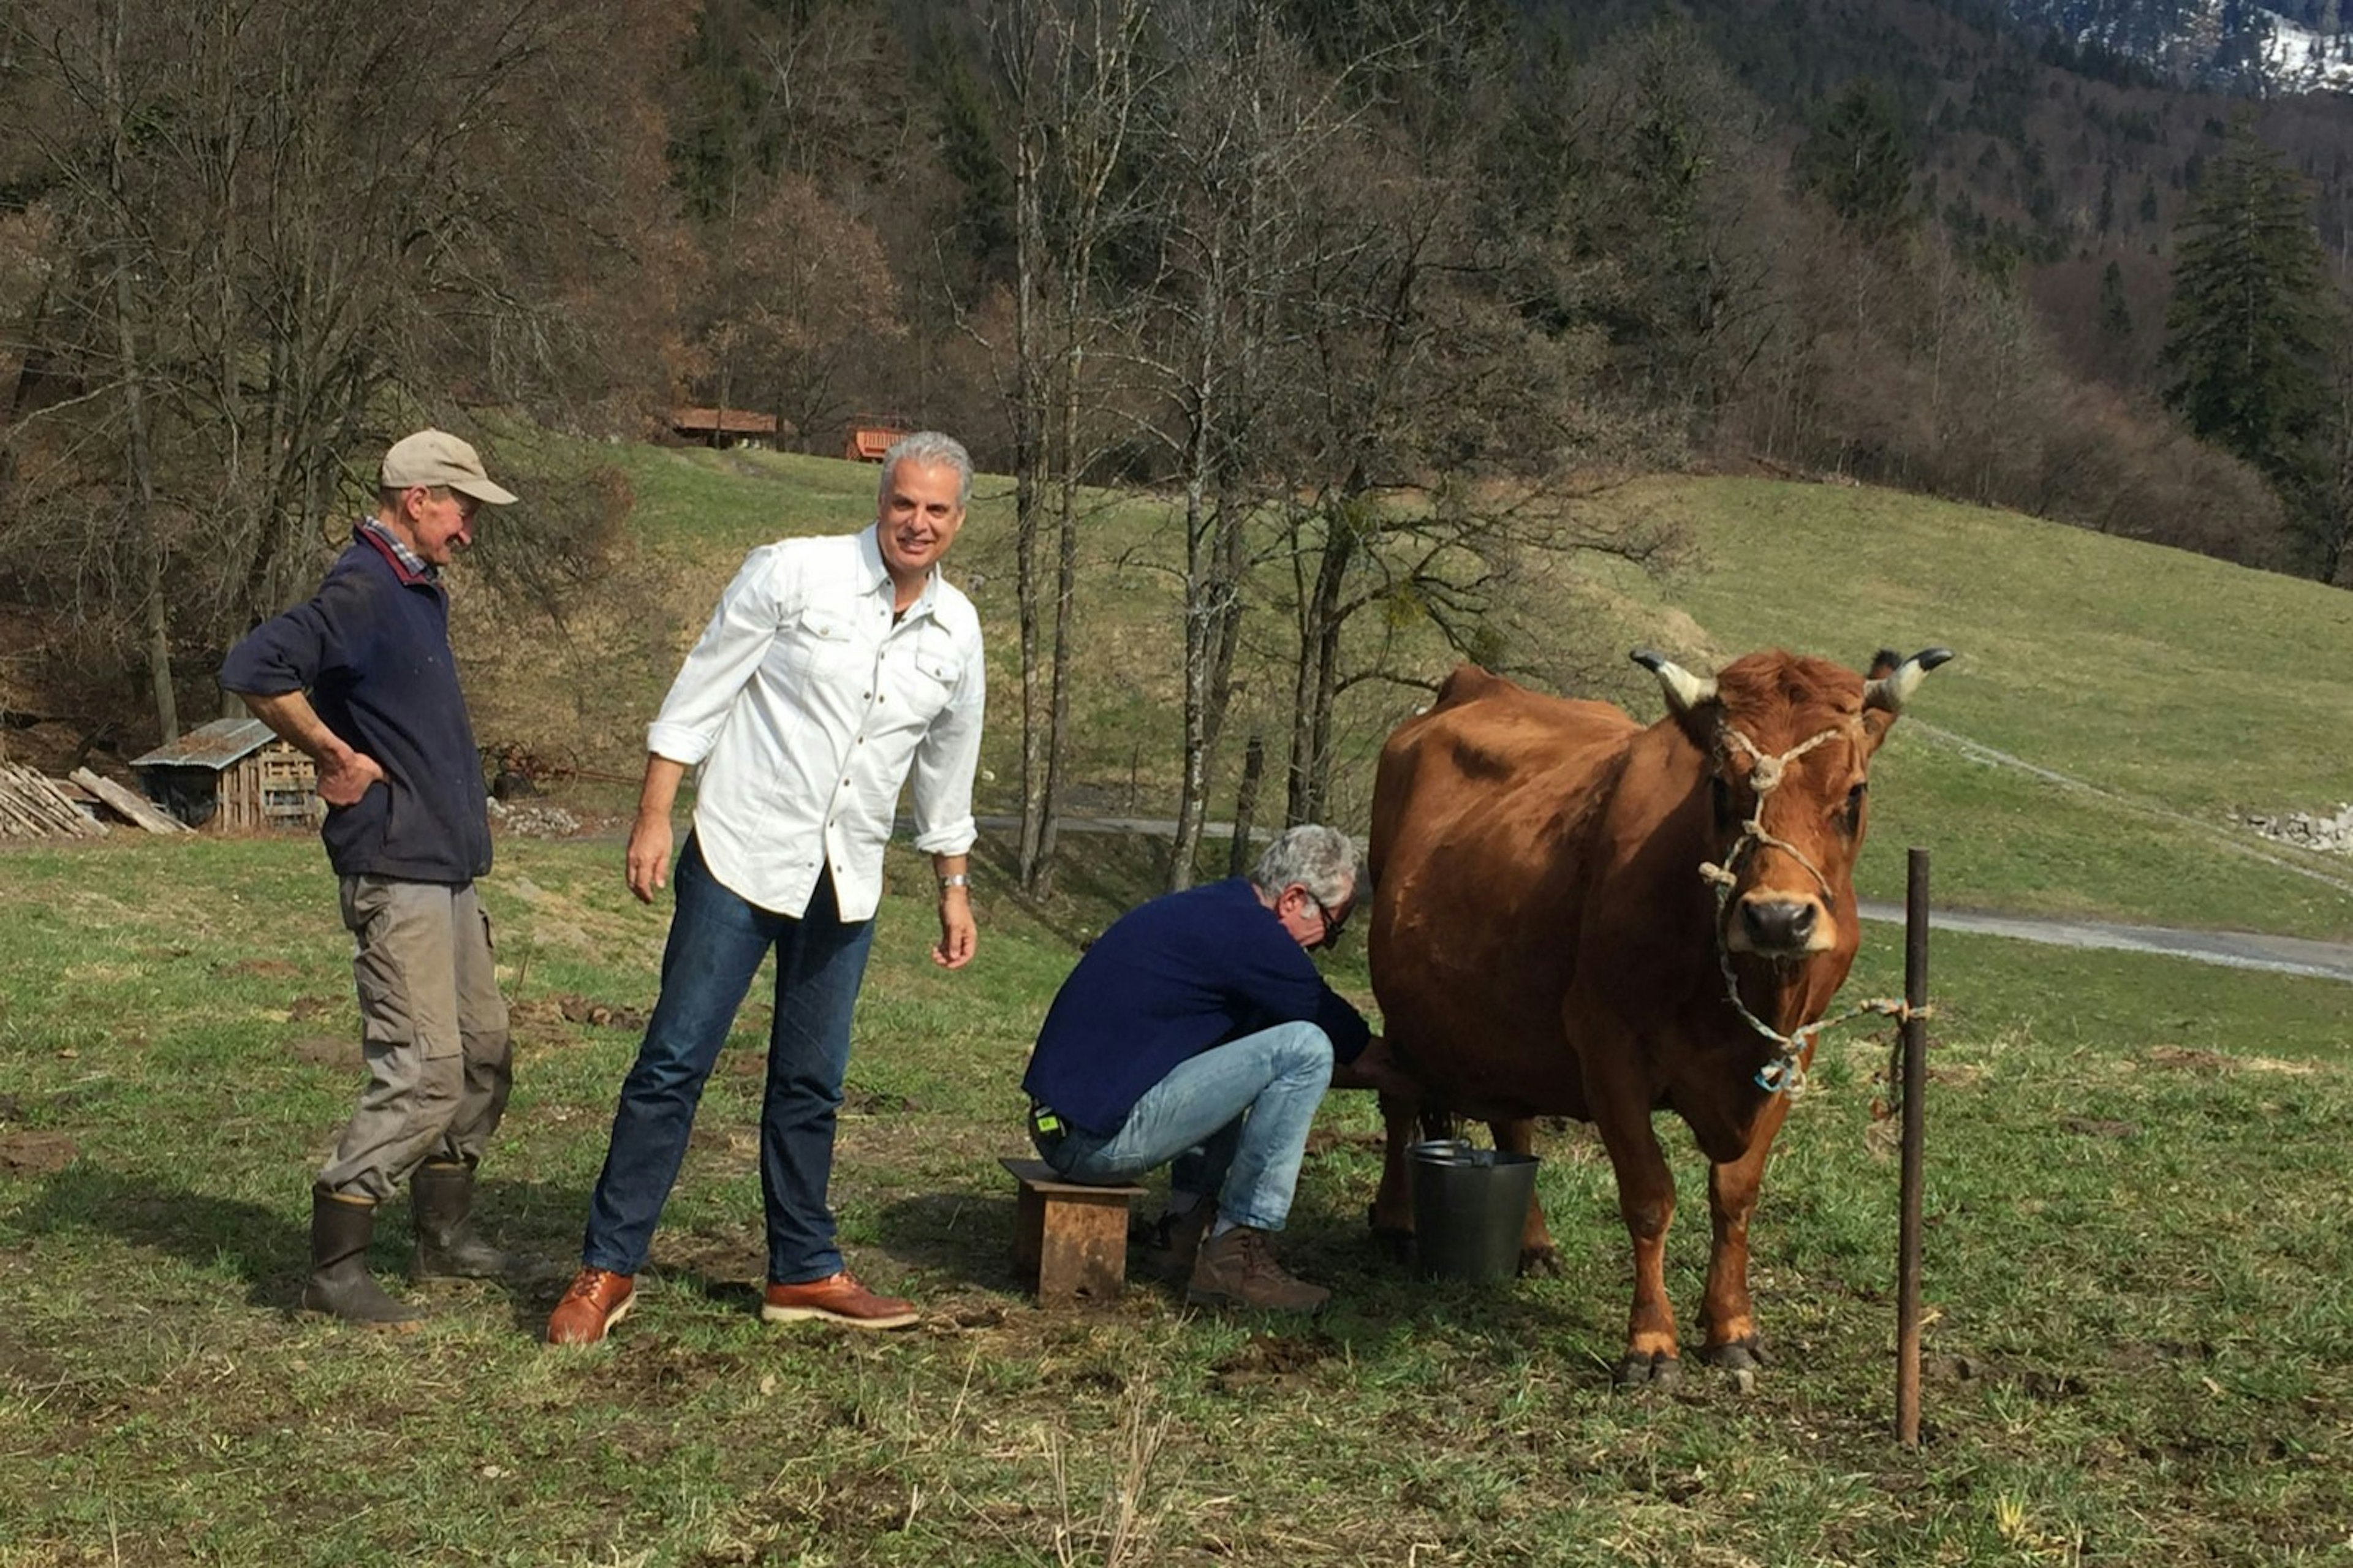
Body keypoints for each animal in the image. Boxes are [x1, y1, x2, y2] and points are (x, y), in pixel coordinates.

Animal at [1365, 640, 1948, 1374]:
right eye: (1720, 789)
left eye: (1854, 793)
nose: (1778, 919)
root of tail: (1477, 682)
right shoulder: (1606, 1046)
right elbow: (1648, 1195)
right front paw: (1650, 1339)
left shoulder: (1795, 1047)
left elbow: (1735, 1193)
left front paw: (1731, 1327)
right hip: (1401, 1003)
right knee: (1400, 1101)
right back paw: (1394, 1223)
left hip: (1505, 1016)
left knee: (1513, 1124)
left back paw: (1533, 1242)